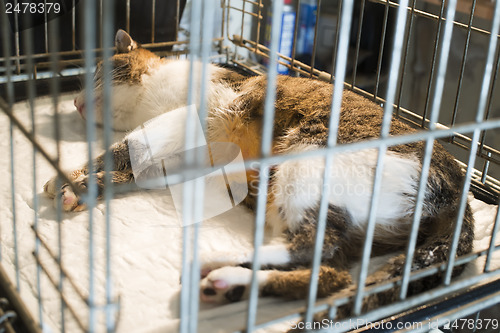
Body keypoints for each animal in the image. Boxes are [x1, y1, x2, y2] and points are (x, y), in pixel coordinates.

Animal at [43, 30, 472, 316]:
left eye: (97, 72)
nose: (76, 102)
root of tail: (459, 187)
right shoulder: (178, 156)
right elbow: (133, 165)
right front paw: (84, 184)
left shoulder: (181, 119)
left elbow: (124, 149)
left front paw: (68, 179)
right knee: (332, 274)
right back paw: (228, 284)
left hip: (307, 161)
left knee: (315, 249)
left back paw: (216, 267)